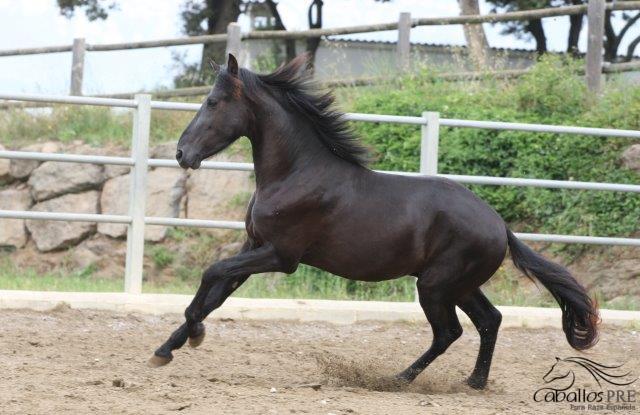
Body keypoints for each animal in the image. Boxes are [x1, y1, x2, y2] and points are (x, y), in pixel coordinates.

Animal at [151, 54, 600, 390]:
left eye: (213, 102)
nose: (182, 153)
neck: (296, 173)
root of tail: (500, 224)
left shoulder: (280, 255)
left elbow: (211, 274)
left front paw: (193, 336)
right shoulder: (253, 247)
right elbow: (215, 294)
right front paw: (166, 349)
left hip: (435, 285)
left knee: (449, 332)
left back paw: (397, 379)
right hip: (458, 284)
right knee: (490, 320)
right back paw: (473, 382)